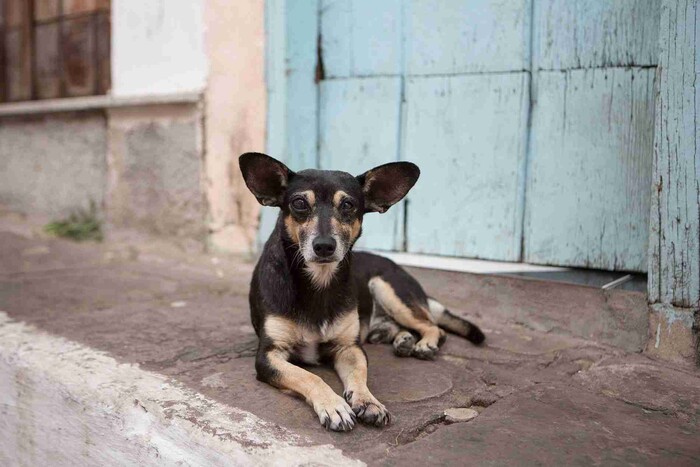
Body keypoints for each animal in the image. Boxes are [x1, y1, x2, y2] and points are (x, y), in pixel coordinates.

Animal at [238, 155, 484, 434]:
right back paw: (402, 340)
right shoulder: (269, 355)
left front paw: (368, 401)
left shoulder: (349, 348)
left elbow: (359, 375)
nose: (324, 246)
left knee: (434, 326)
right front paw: (334, 406)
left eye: (348, 205)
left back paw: (424, 343)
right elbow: (309, 376)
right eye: (299, 203)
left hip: (388, 289)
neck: (318, 282)